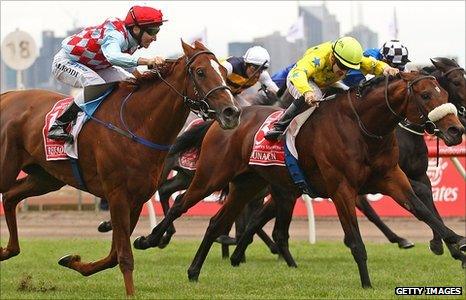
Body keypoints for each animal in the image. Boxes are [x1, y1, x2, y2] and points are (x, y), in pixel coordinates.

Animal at [0, 39, 240, 296]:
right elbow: (124, 256)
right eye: (200, 72)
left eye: (224, 71)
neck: (137, 123)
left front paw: (73, 260)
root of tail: (6, 97)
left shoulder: (136, 198)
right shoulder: (117, 195)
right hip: (8, 168)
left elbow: (114, 255)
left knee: (11, 197)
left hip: (45, 178)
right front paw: (131, 293)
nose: (232, 112)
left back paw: (7, 250)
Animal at [133, 71, 464, 288]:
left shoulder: (392, 178)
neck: (362, 127)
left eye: (445, 94)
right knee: (179, 203)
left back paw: (194, 270)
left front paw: (456, 244)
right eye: (425, 95)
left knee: (216, 223)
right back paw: (151, 239)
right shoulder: (342, 189)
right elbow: (355, 240)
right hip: (211, 175)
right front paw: (367, 284)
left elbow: (423, 210)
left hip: (248, 184)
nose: (455, 130)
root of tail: (225, 117)